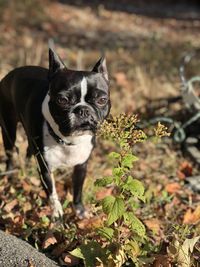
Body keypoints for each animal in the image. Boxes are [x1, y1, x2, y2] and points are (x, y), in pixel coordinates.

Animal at [0, 48, 111, 220]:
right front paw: (57, 213)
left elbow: (77, 190)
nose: (83, 110)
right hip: (8, 128)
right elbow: (52, 193)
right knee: (10, 152)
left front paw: (79, 210)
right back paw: (10, 175)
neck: (67, 140)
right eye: (62, 100)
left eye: (102, 100)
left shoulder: (81, 166)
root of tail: (10, 74)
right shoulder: (46, 169)